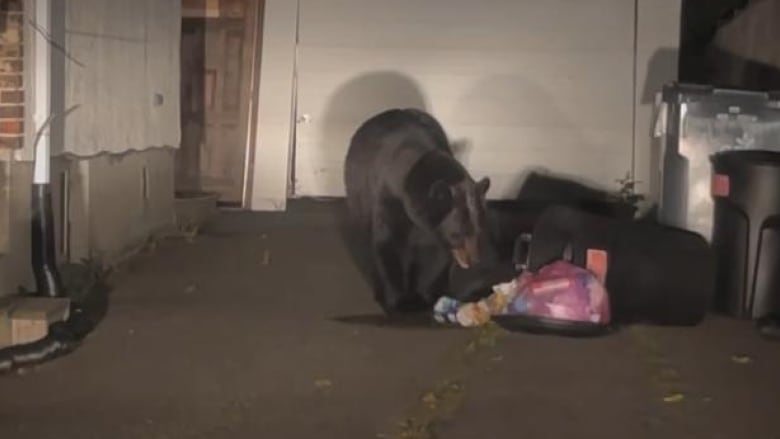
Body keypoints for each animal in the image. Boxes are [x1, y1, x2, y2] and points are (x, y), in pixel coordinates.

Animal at [342, 107, 490, 314]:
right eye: (458, 234)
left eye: (479, 231)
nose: (473, 261)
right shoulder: (388, 200)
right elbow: (387, 245)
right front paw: (397, 302)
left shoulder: (434, 232)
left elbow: (437, 258)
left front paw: (426, 296)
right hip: (358, 196)